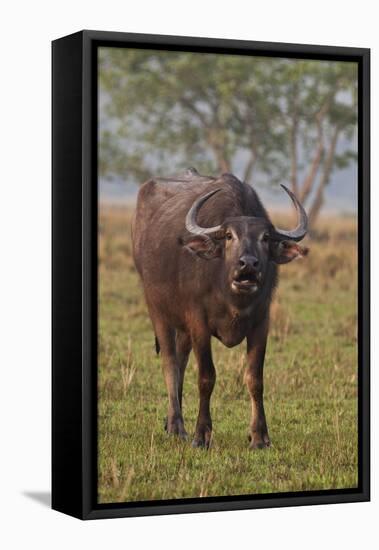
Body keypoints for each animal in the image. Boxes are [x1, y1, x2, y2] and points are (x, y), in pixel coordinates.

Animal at [131, 170, 308, 450]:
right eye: (228, 236)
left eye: (266, 238)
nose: (248, 264)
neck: (232, 297)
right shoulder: (199, 323)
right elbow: (206, 377)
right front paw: (201, 435)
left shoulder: (261, 323)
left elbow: (255, 379)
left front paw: (259, 436)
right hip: (157, 309)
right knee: (170, 363)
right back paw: (178, 427)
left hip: (183, 327)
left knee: (181, 361)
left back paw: (170, 422)